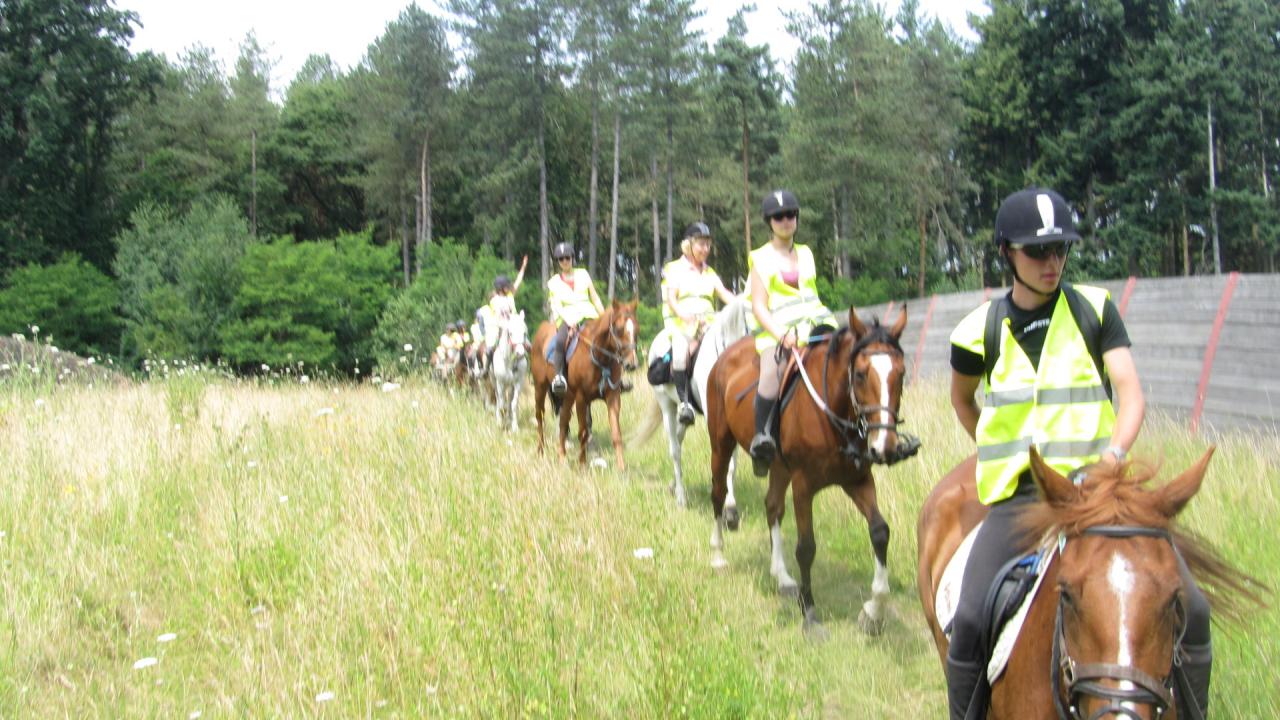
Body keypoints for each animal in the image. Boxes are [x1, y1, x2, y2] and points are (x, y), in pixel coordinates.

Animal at [527, 297, 637, 466]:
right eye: (618, 329)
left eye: (636, 329)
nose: (631, 364)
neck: (599, 358)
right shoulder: (581, 398)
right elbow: (583, 432)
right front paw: (582, 464)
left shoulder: (613, 397)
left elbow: (616, 434)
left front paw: (621, 467)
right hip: (541, 388)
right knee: (540, 417)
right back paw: (541, 450)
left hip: (567, 395)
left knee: (563, 421)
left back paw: (562, 457)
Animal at [634, 294, 752, 517]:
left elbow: (732, 463)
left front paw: (731, 507)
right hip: (667, 407)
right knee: (675, 450)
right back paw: (681, 497)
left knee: (679, 440)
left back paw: (673, 485)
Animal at [701, 304, 921, 630]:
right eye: (860, 374)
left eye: (901, 374)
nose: (885, 447)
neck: (833, 415)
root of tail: (724, 358)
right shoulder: (803, 485)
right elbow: (806, 547)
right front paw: (810, 613)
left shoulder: (857, 479)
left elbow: (880, 531)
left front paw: (873, 612)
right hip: (721, 444)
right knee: (718, 493)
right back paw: (717, 556)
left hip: (779, 467)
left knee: (772, 507)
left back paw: (782, 577)